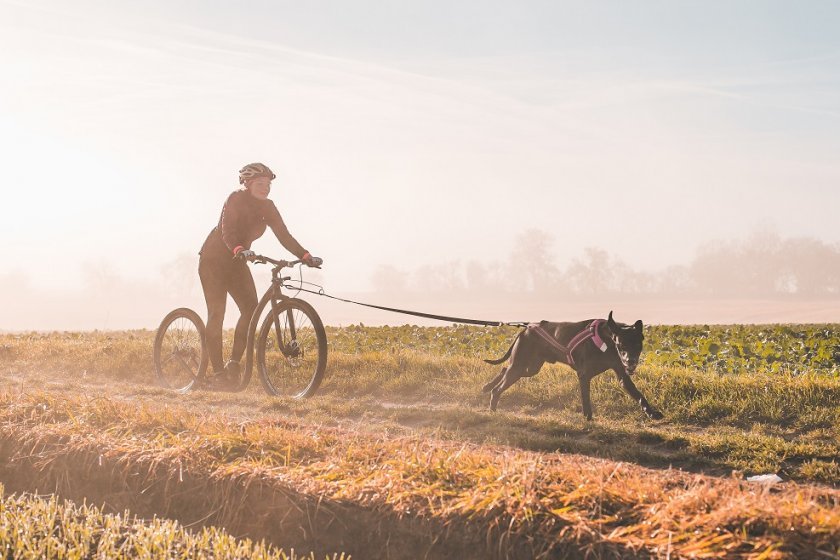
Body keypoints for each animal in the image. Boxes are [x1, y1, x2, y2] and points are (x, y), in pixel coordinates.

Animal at [486, 310, 664, 420]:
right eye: (621, 345)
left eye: (638, 345)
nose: (630, 361)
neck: (607, 340)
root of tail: (526, 329)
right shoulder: (584, 375)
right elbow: (586, 398)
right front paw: (588, 417)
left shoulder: (622, 375)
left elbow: (638, 395)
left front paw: (651, 413)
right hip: (520, 366)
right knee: (500, 385)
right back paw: (492, 404)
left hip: (530, 368)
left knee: (504, 369)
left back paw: (487, 386)